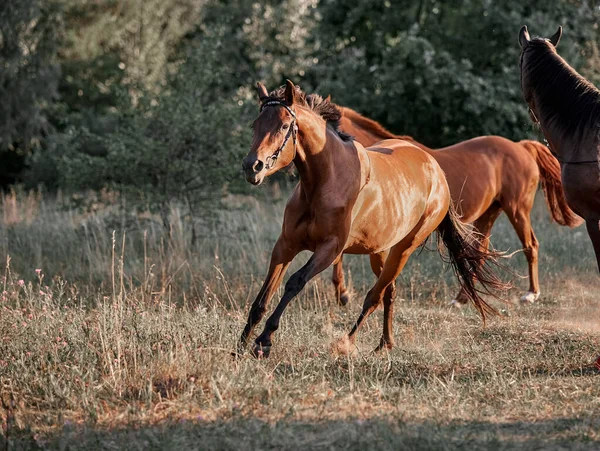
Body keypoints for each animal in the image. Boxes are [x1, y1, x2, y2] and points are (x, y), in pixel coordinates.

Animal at [239, 80, 506, 356]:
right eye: (255, 125)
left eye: (283, 126)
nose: (252, 166)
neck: (326, 181)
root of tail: (436, 169)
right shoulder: (285, 246)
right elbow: (263, 296)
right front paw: (241, 344)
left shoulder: (329, 250)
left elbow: (294, 283)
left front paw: (264, 340)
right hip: (379, 250)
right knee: (389, 290)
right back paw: (384, 343)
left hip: (403, 249)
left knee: (375, 295)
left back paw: (347, 342)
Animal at [328, 103, 580, 308]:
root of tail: (522, 147)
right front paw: (343, 295)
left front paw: (344, 295)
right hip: (489, 213)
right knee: (479, 253)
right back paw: (462, 299)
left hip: (517, 210)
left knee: (530, 245)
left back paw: (530, 294)